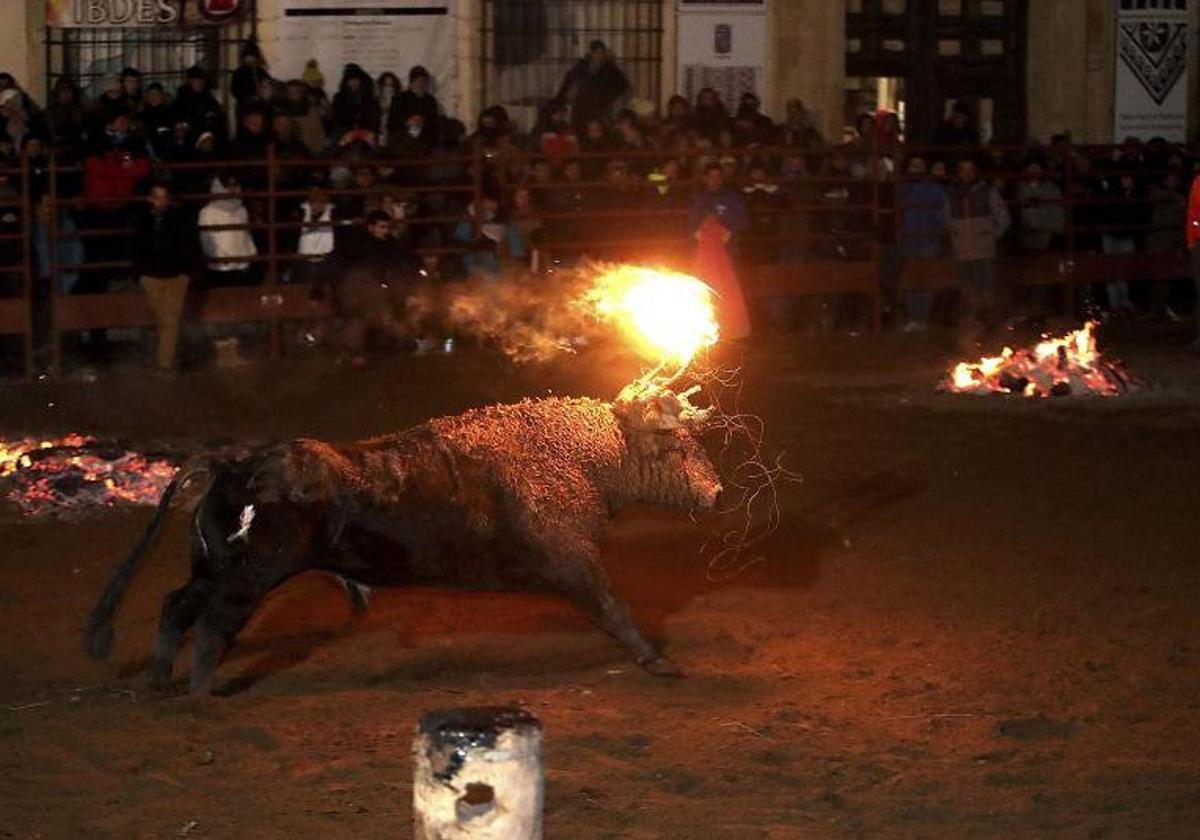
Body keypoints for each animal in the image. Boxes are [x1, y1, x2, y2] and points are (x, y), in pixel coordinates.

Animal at [87, 398, 720, 696]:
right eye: (677, 449)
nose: (715, 491)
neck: (581, 456)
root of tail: (234, 467)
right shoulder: (575, 561)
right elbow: (615, 608)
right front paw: (657, 661)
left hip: (213, 568)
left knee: (176, 605)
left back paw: (161, 679)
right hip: (248, 578)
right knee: (214, 625)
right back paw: (202, 692)